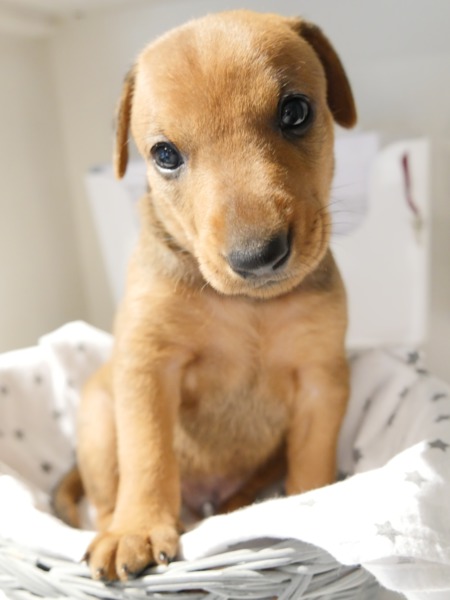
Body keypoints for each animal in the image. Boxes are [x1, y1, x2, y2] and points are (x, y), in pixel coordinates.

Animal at [54, 9, 356, 581]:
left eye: (296, 112)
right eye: (164, 155)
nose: (258, 256)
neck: (247, 308)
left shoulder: (320, 380)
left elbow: (313, 457)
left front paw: (310, 505)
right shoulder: (149, 368)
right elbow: (148, 455)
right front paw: (135, 529)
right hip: (99, 418)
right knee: (103, 499)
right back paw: (112, 527)